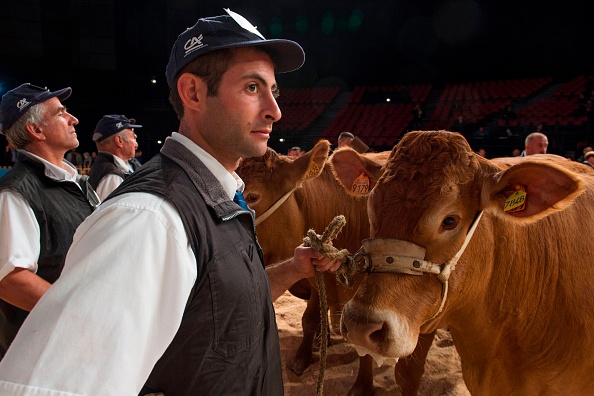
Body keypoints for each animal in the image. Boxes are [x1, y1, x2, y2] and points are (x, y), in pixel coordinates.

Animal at [237, 141, 434, 394]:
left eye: (252, 196)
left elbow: (364, 349)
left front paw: (361, 387)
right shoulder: (316, 278)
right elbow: (309, 319)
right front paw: (302, 358)